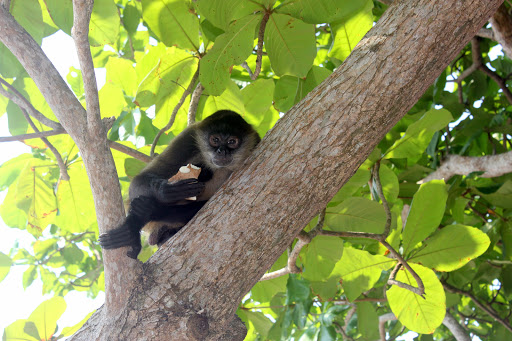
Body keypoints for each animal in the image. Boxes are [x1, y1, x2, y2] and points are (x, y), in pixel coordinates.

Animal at [98, 111, 262, 258]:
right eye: (215, 140)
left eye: (232, 142)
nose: (222, 151)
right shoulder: (188, 137)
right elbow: (140, 180)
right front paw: (167, 191)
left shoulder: (256, 142)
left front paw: (153, 209)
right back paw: (130, 235)